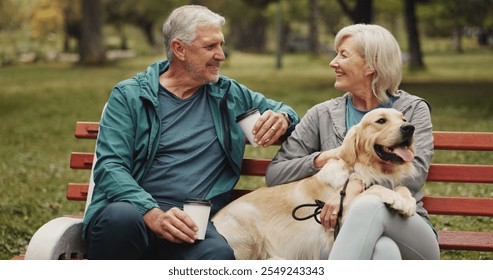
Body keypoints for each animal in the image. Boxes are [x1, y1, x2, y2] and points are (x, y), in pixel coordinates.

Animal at [213, 108, 418, 260]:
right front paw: (396, 198)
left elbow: (402, 187)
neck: (364, 170)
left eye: (404, 118)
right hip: (248, 228)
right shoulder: (340, 217)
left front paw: (407, 200)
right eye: (381, 121)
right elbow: (374, 189)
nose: (409, 127)